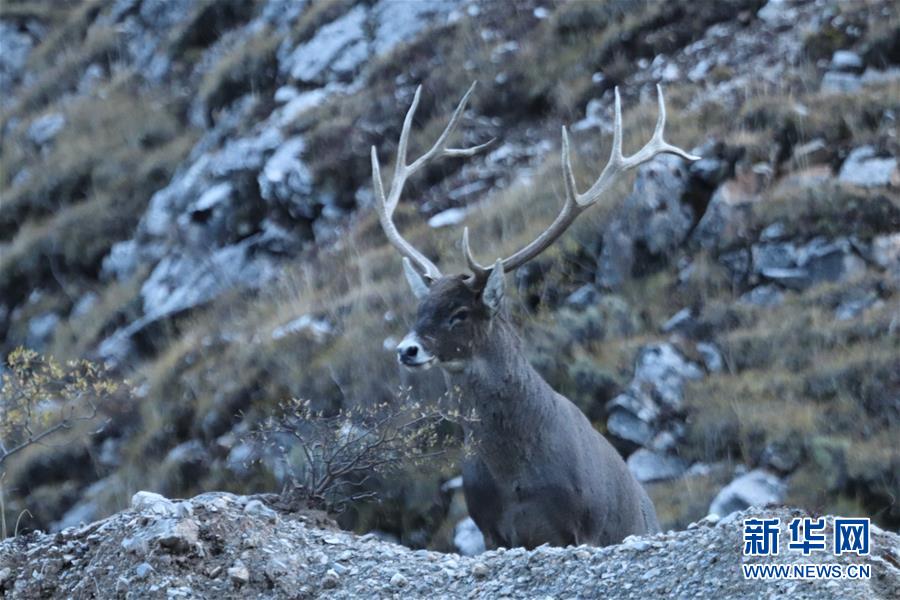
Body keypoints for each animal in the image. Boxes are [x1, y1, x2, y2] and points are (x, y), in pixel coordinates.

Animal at [370, 83, 700, 548]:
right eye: (421, 308)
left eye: (459, 313)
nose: (407, 349)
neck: (516, 479)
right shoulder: (489, 527)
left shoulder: (582, 524)